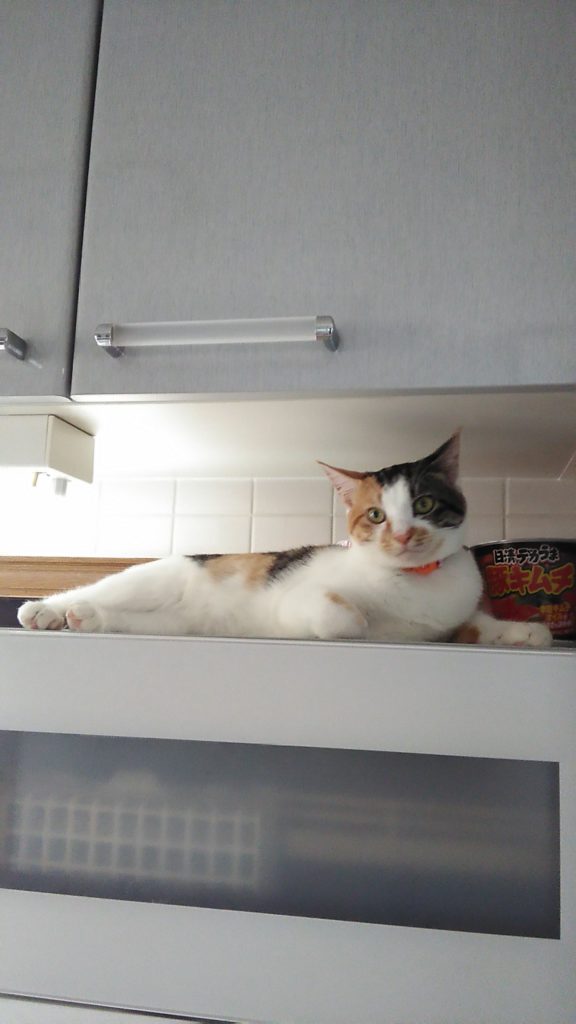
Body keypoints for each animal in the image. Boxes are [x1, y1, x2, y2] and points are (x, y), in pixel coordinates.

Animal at [18, 434, 551, 647]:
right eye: (376, 515)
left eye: (423, 505)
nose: (402, 535)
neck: (416, 585)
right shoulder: (299, 599)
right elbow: (341, 614)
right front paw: (364, 624)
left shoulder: (453, 619)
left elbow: (478, 626)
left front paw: (526, 632)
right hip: (153, 580)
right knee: (92, 589)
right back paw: (45, 611)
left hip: (174, 624)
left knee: (124, 618)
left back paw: (86, 619)